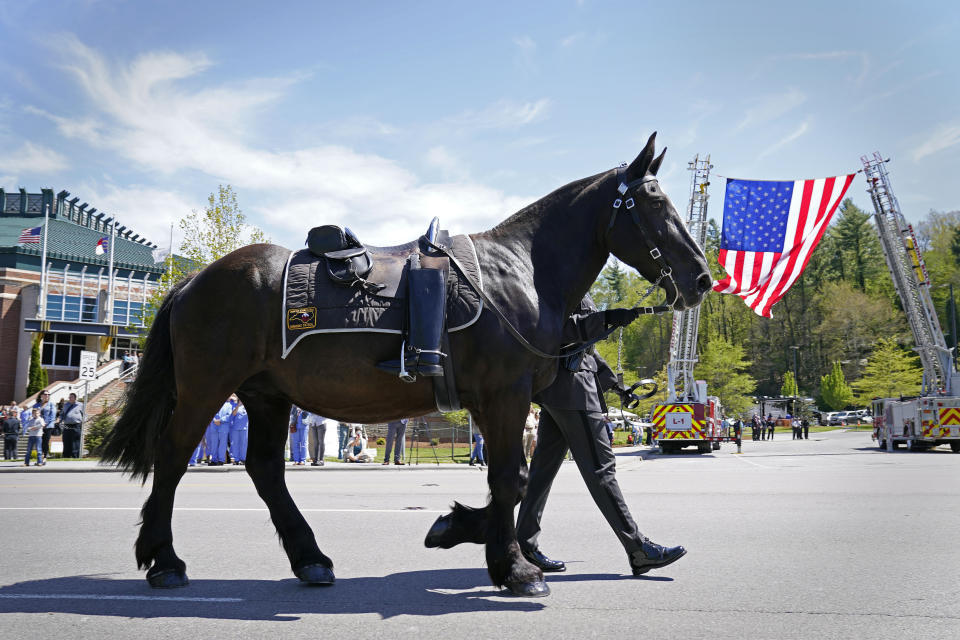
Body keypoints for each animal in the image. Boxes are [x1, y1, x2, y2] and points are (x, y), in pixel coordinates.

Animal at [103, 132, 712, 596]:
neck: (520, 271)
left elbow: (510, 481)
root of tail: (192, 279)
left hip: (266, 395)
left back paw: (310, 557)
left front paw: (473, 533)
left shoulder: (499, 401)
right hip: (207, 388)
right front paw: (514, 567)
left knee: (265, 471)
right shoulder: (506, 395)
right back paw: (164, 560)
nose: (703, 277)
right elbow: (510, 478)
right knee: (173, 458)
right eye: (654, 205)